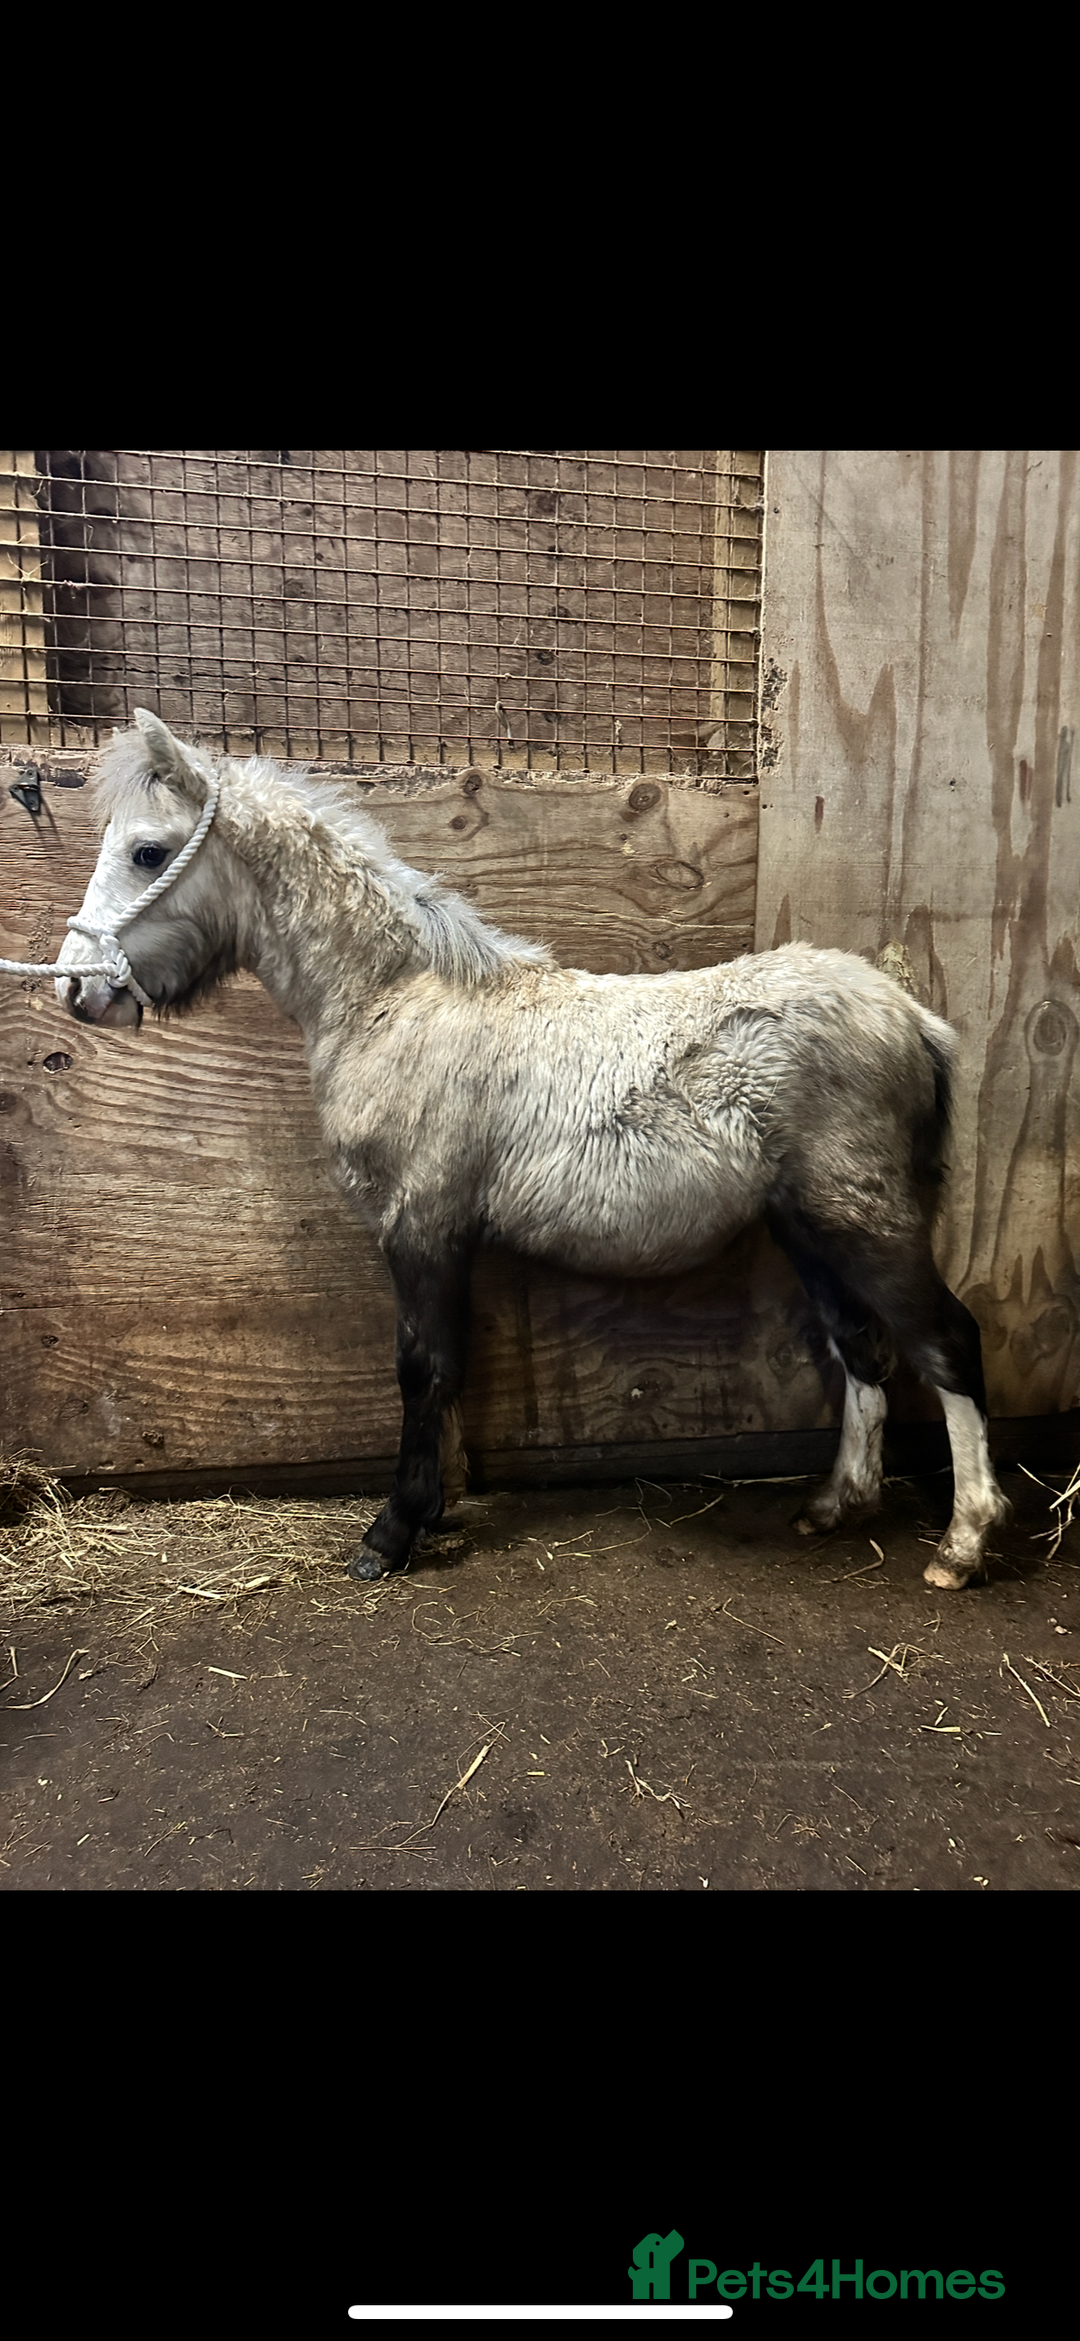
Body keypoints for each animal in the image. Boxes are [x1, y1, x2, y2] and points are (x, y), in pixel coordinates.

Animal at [55, 710, 1009, 1591]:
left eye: (147, 852)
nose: (76, 989)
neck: (398, 997)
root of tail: (910, 1016)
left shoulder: (420, 1224)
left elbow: (422, 1367)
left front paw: (392, 1531)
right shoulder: (441, 1233)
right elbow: (446, 1368)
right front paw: (434, 1509)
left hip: (866, 1222)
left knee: (947, 1343)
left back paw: (961, 1544)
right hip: (808, 1228)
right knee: (862, 1347)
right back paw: (836, 1503)